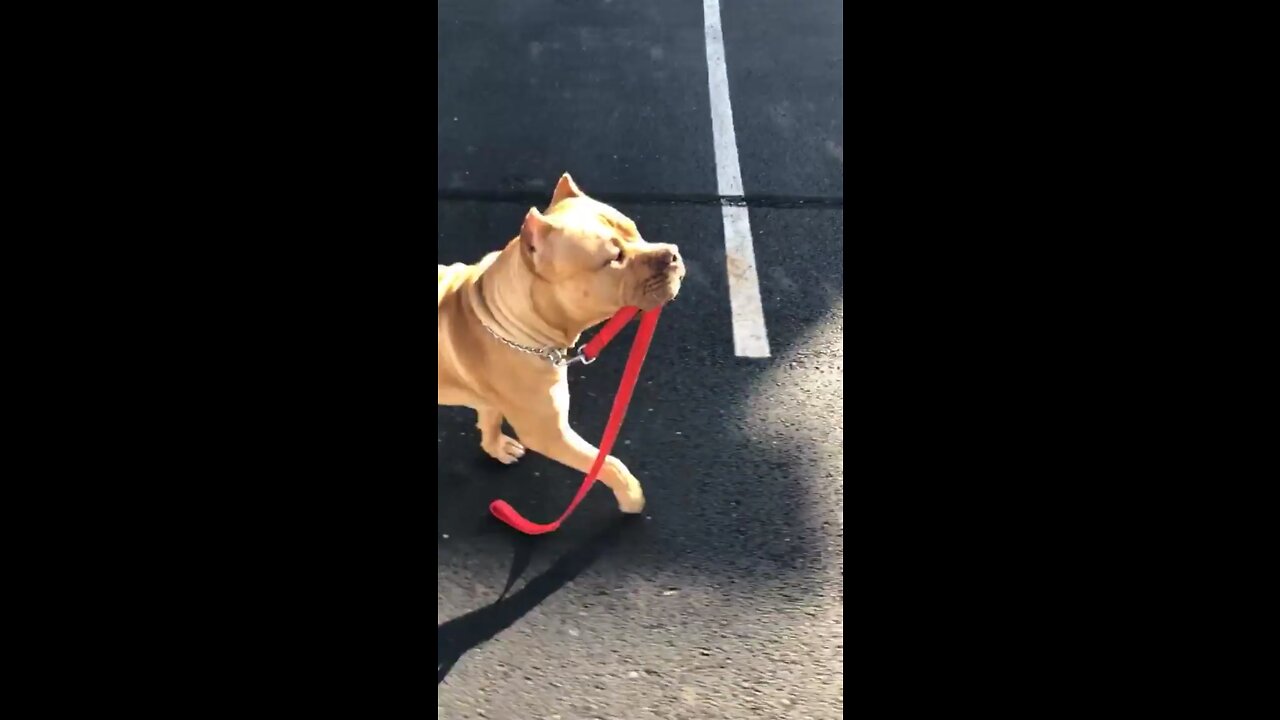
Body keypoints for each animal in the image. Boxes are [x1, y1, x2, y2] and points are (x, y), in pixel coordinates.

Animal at [437, 172, 686, 509]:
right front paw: (631, 497)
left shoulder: (491, 401)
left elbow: (489, 421)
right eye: (615, 258)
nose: (673, 253)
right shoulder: (549, 435)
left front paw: (496, 447)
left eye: (636, 232)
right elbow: (608, 464)